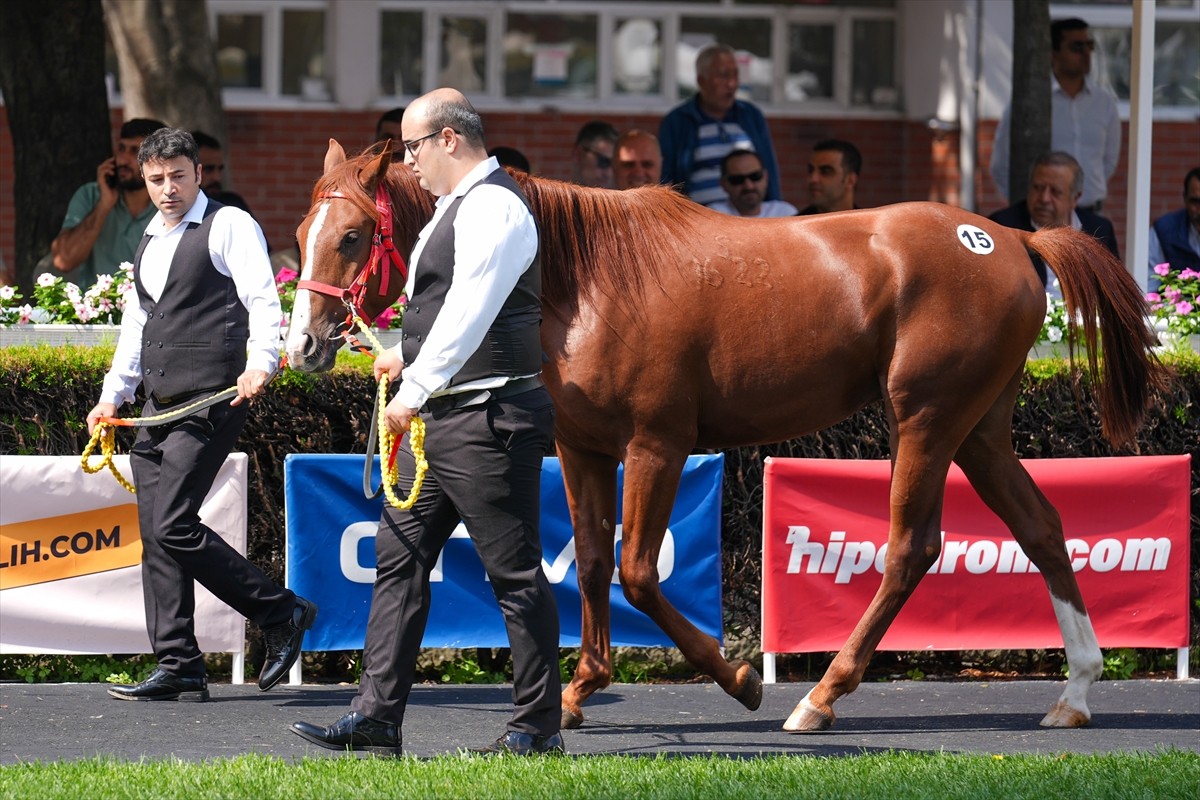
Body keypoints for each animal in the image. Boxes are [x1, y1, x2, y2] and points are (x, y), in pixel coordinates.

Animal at [283, 142, 1161, 734]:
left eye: (352, 236)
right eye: (299, 233)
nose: (307, 345)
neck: (582, 274)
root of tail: (1011, 238)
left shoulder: (658, 444)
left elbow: (639, 573)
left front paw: (738, 677)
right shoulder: (583, 447)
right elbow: (592, 565)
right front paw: (579, 688)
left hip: (926, 418)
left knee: (912, 548)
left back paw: (820, 697)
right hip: (979, 427)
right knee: (1041, 526)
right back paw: (1075, 691)